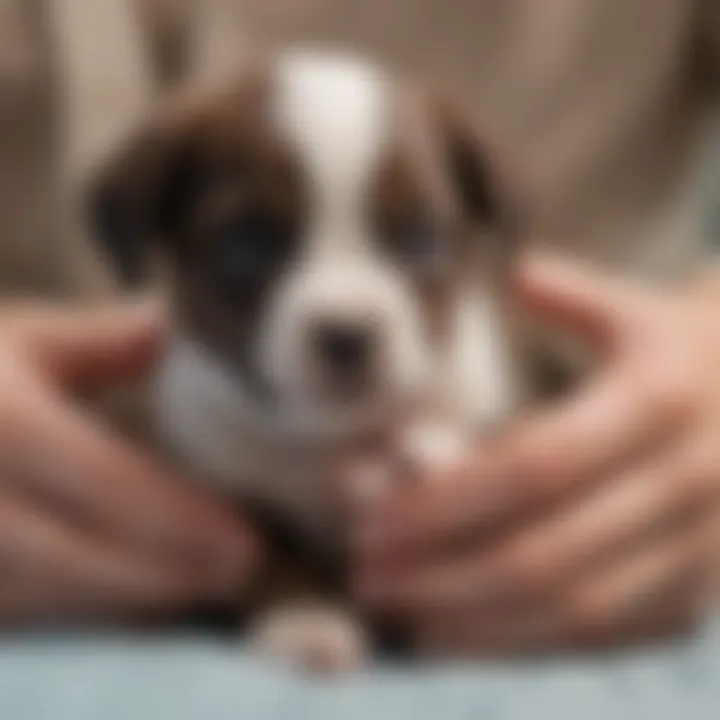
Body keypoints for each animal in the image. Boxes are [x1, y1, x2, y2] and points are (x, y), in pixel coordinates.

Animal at [88, 49, 528, 668]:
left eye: (419, 237)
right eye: (248, 243)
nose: (347, 335)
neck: (329, 441)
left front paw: (430, 447)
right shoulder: (217, 476)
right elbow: (271, 553)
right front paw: (307, 619)